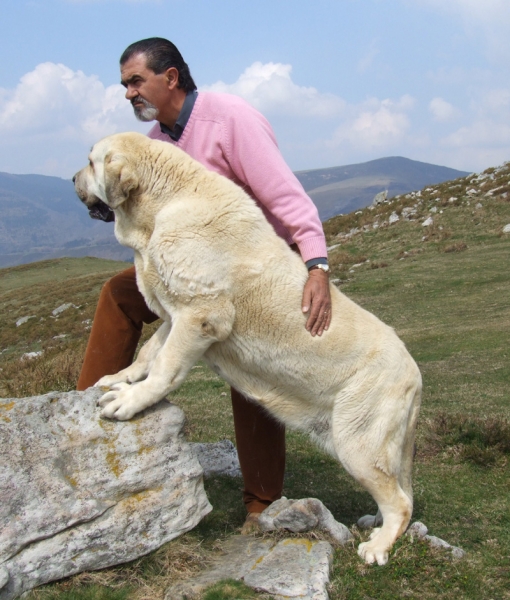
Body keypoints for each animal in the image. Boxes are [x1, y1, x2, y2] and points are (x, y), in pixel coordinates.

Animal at [72, 132, 422, 568]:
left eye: (91, 161)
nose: (72, 179)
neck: (162, 204)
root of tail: (415, 375)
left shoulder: (201, 315)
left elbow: (165, 366)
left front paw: (131, 401)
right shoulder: (174, 314)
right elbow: (148, 353)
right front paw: (120, 378)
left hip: (357, 441)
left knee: (400, 502)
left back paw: (378, 545)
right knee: (401, 490)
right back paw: (375, 524)